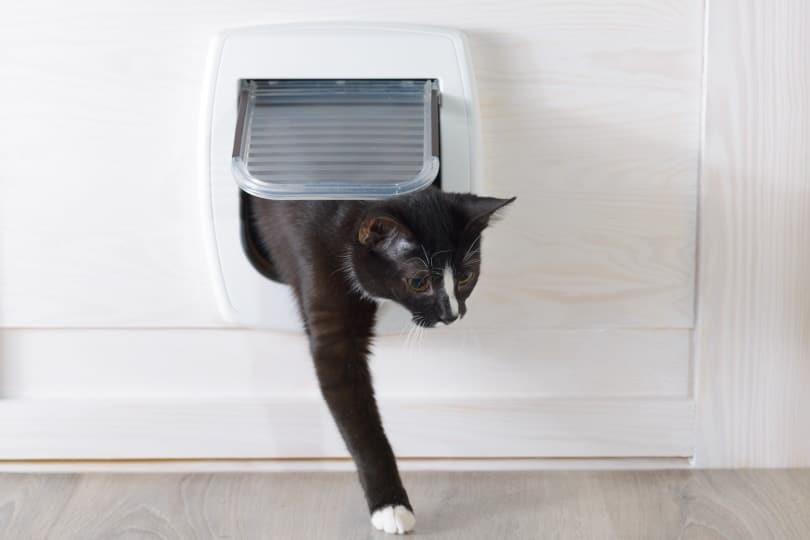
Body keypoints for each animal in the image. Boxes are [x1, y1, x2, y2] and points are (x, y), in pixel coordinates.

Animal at [243, 188, 516, 532]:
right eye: (419, 282)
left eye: (466, 276)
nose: (451, 314)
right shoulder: (316, 263)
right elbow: (357, 417)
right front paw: (391, 505)